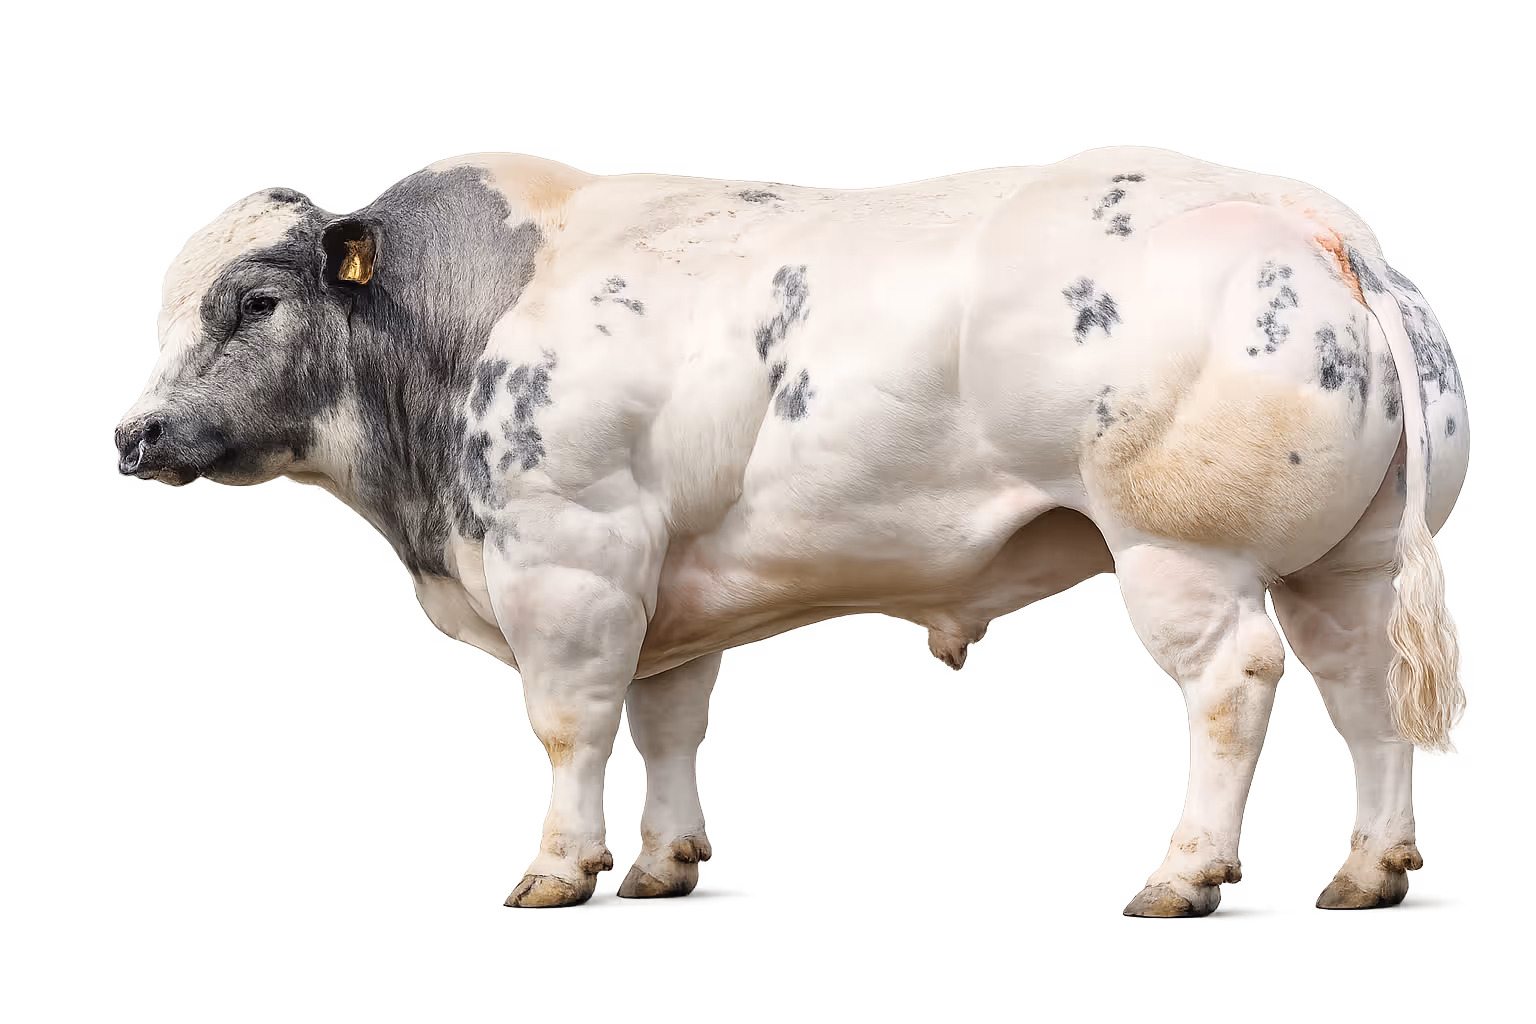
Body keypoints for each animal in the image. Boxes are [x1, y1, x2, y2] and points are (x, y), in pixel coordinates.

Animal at [114, 146, 1469, 916]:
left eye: (255, 299)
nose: (136, 431)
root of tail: (1308, 220)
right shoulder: (664, 595)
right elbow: (667, 722)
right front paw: (669, 862)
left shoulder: (570, 564)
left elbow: (572, 728)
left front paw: (560, 869)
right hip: (1342, 563)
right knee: (1364, 693)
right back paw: (1370, 871)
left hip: (1182, 549)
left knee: (1235, 687)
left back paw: (1184, 875)